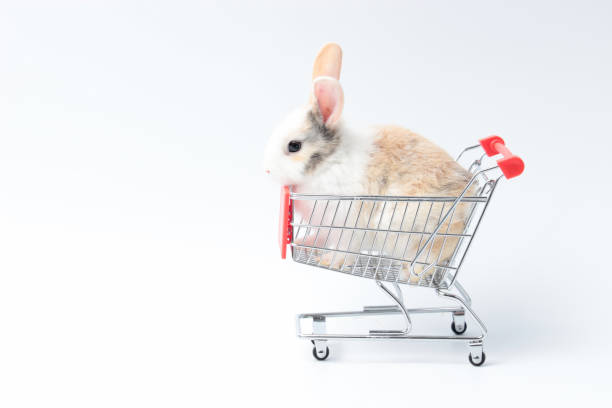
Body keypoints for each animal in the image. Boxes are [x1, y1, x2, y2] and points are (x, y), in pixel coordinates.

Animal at [262, 42, 474, 284]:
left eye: (294, 146)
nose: (266, 170)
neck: (330, 162)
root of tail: (469, 192)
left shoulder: (348, 223)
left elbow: (344, 250)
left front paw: (328, 260)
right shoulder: (328, 225)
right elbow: (322, 236)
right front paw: (306, 243)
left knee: (433, 253)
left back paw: (409, 274)